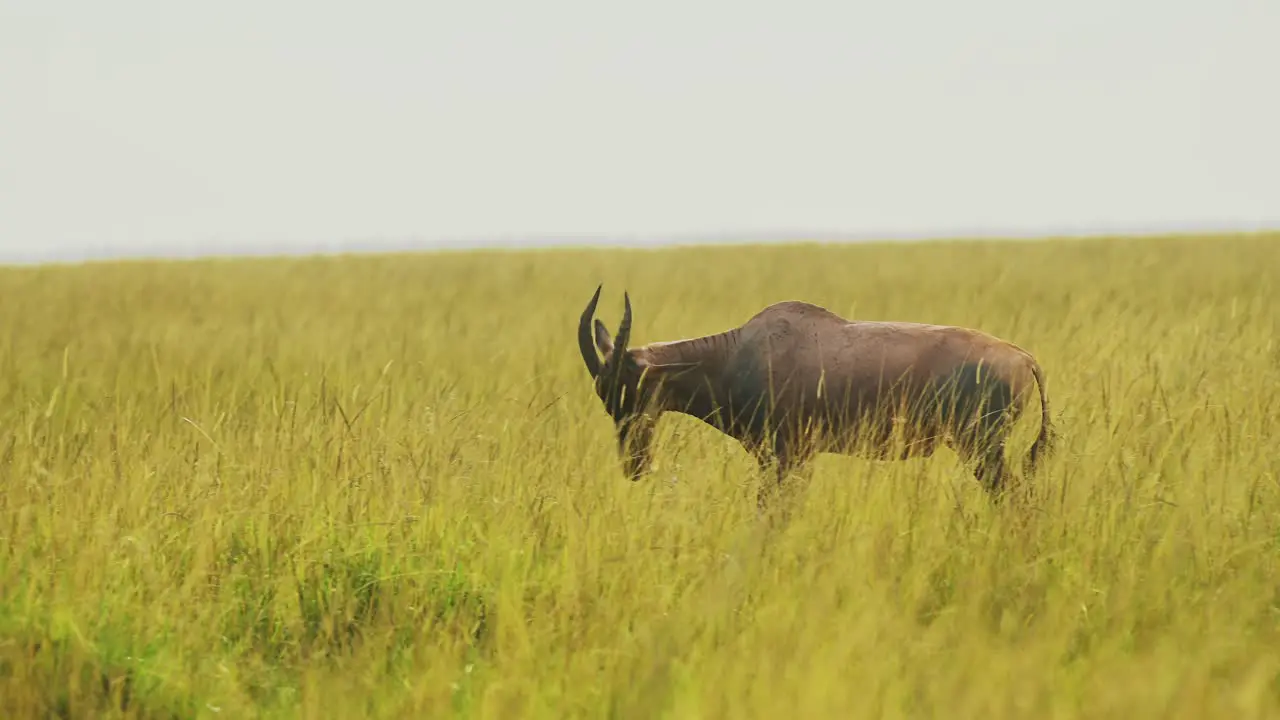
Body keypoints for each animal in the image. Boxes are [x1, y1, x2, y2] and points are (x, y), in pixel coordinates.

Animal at [576, 283, 1054, 507]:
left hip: (983, 449)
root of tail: (1025, 359)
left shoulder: (788, 457)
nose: (635, 467)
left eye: (635, 387)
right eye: (605, 397)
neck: (739, 351)